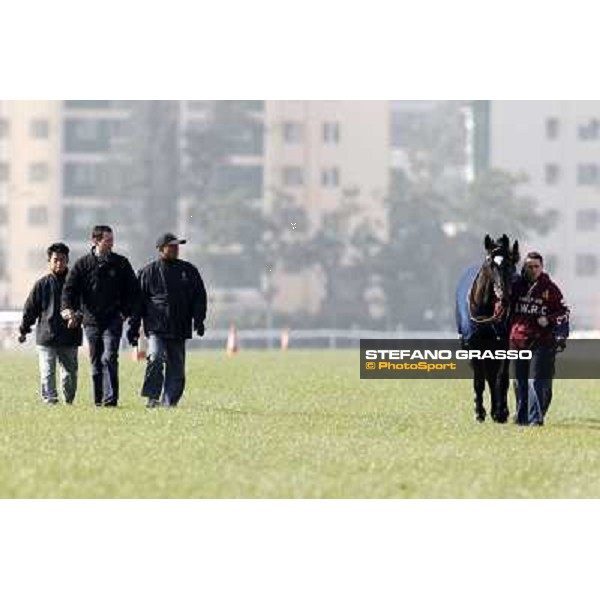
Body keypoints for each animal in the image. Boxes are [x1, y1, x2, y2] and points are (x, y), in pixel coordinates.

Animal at [458, 233, 516, 422]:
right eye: (490, 263)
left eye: (509, 263)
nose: (504, 297)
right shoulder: (473, 345)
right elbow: (479, 380)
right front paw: (479, 412)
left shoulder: (503, 344)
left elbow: (501, 378)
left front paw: (500, 411)